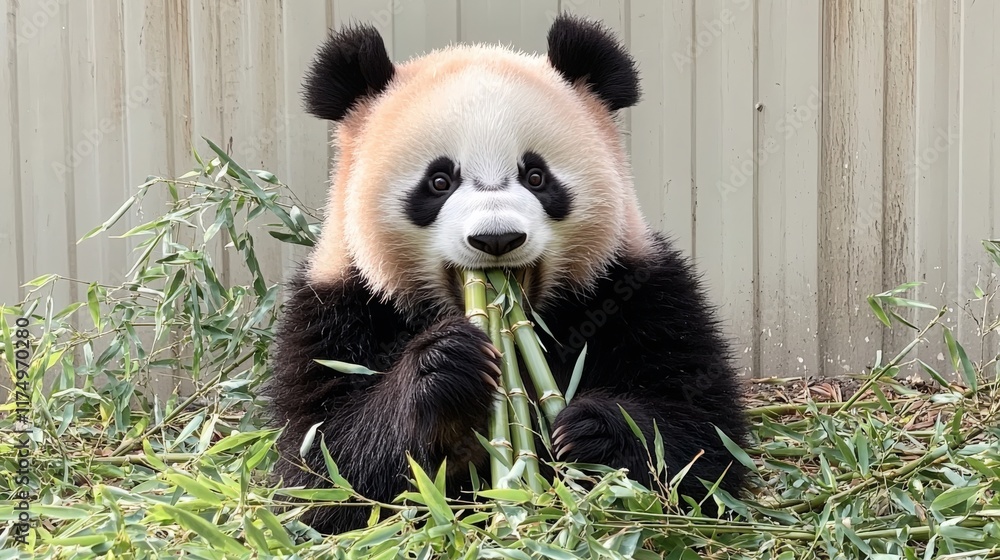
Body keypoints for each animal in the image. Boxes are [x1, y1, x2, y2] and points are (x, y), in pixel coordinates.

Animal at [267, 15, 749, 534]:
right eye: (439, 181)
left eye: (536, 176)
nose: (497, 239)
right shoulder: (337, 307)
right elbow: (325, 466)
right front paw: (445, 363)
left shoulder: (639, 289)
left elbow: (701, 437)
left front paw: (590, 430)